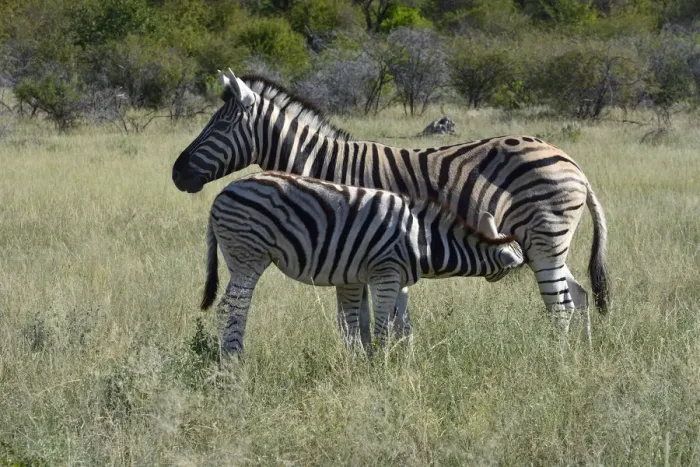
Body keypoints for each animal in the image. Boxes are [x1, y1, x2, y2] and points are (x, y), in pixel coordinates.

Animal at [201, 171, 524, 354]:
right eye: (519, 267)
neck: (422, 240)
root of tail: (221, 193)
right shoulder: (386, 273)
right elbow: (381, 329)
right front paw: (382, 368)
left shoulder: (397, 280)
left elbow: (402, 328)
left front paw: (405, 363)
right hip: (248, 256)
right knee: (232, 308)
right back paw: (233, 361)